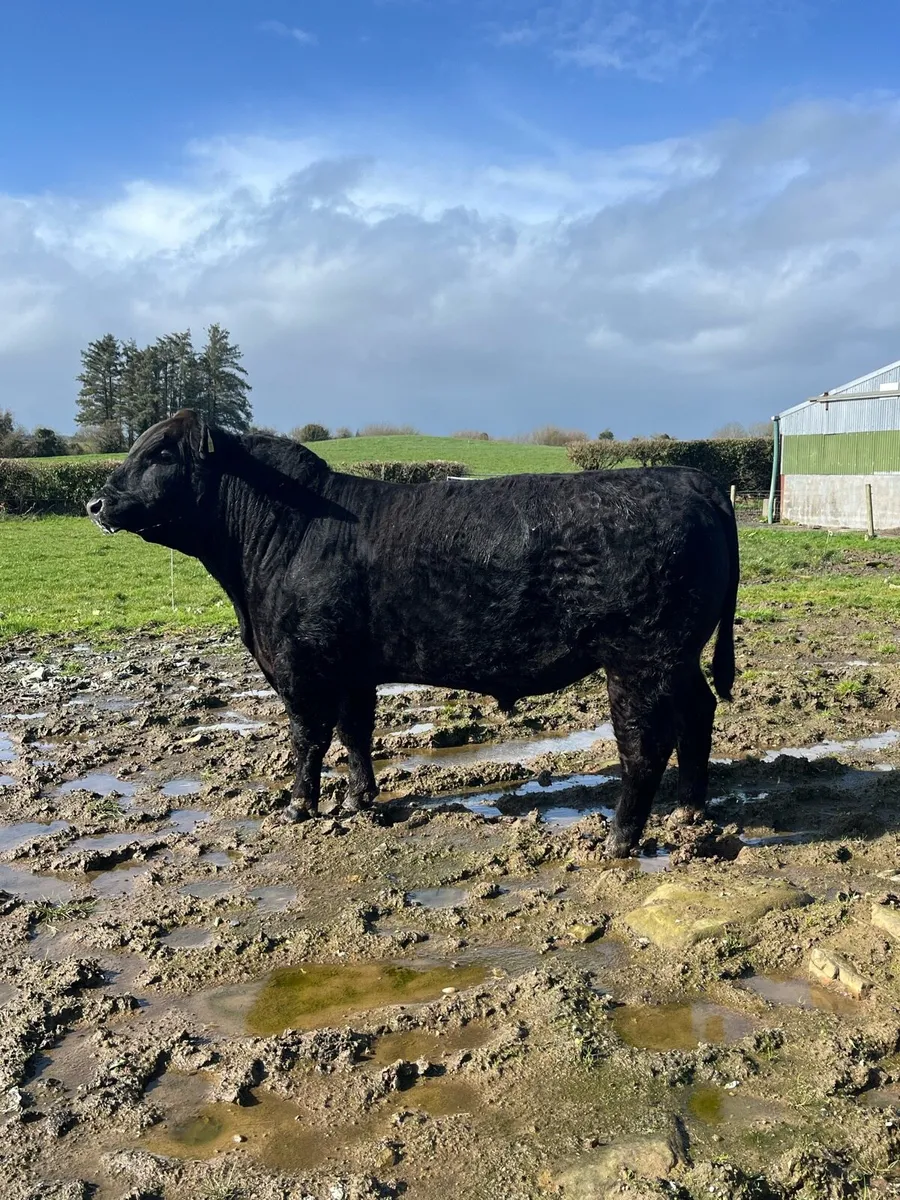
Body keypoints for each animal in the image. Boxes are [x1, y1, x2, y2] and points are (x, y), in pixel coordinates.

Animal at [87, 409, 739, 856]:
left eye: (160, 452)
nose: (95, 502)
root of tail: (694, 479)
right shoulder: (351, 669)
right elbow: (354, 733)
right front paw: (361, 800)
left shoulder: (302, 666)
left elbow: (307, 738)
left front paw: (298, 808)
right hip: (677, 656)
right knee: (699, 712)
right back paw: (690, 810)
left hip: (640, 656)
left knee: (644, 743)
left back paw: (620, 837)